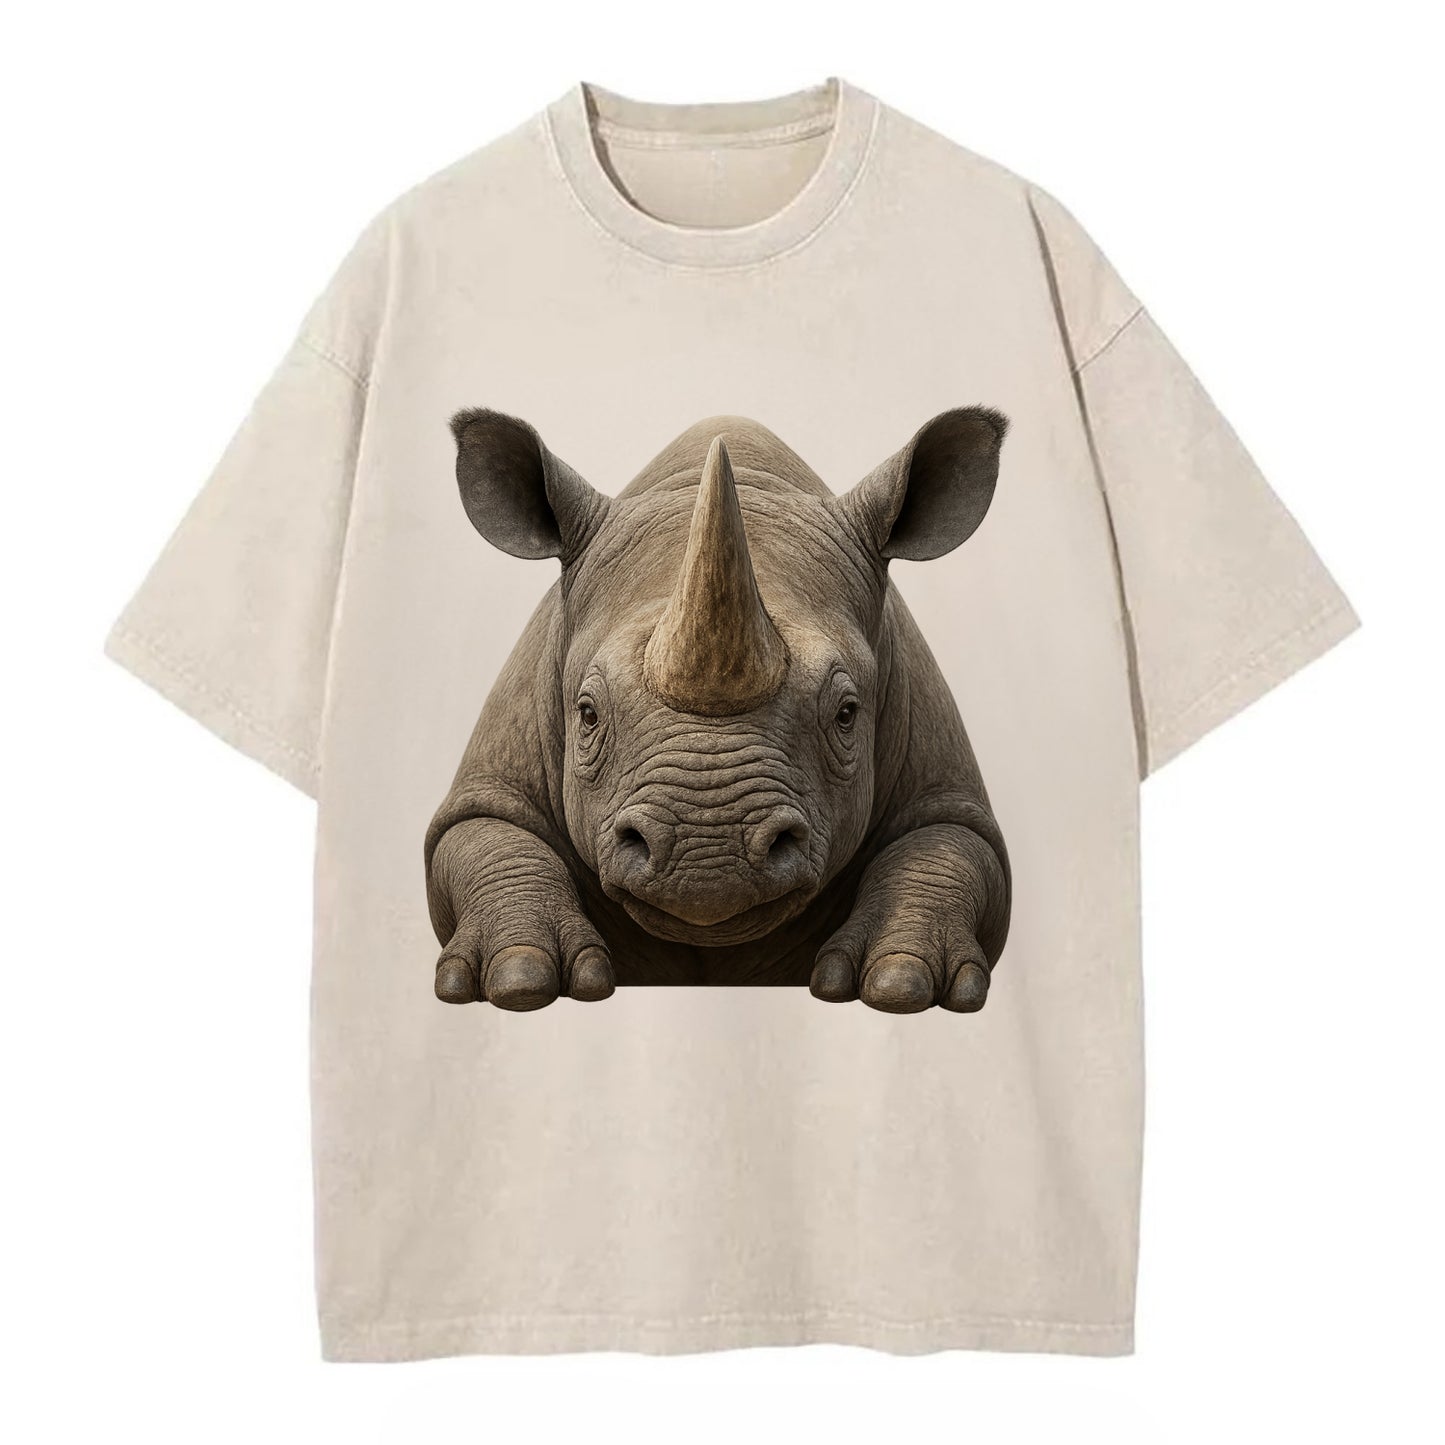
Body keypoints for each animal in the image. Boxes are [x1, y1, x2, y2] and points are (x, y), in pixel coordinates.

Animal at [425, 408, 1011, 1014]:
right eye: (587, 714)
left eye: (847, 714)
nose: (708, 857)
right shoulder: (495, 774)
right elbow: (485, 834)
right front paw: (519, 979)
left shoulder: (940, 776)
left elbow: (947, 844)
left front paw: (901, 983)